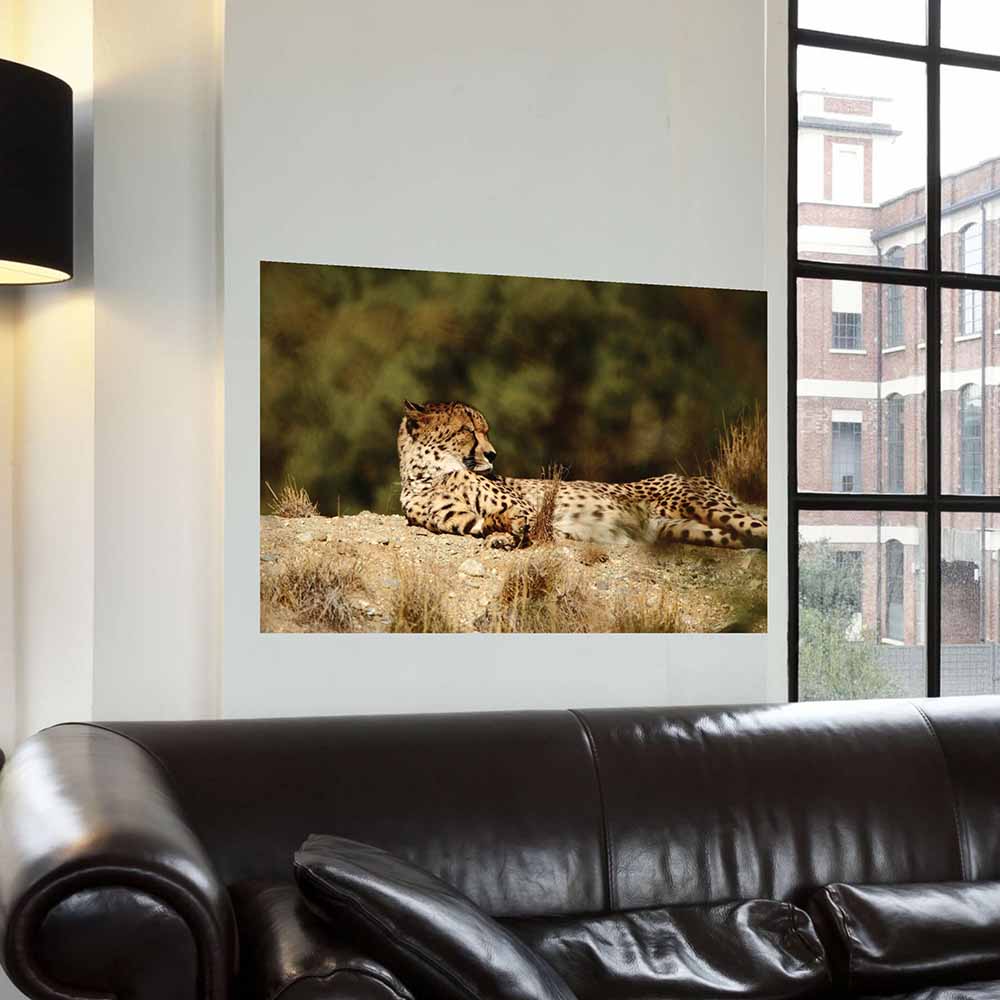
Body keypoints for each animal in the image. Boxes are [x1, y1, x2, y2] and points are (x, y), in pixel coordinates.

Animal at [397, 400, 767, 551]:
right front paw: (501, 535)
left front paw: (509, 535)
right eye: (467, 430)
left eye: (484, 431)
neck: (430, 474)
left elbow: (518, 517)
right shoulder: (464, 521)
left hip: (708, 507)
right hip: (690, 530)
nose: (492, 454)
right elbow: (487, 522)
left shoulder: (529, 509)